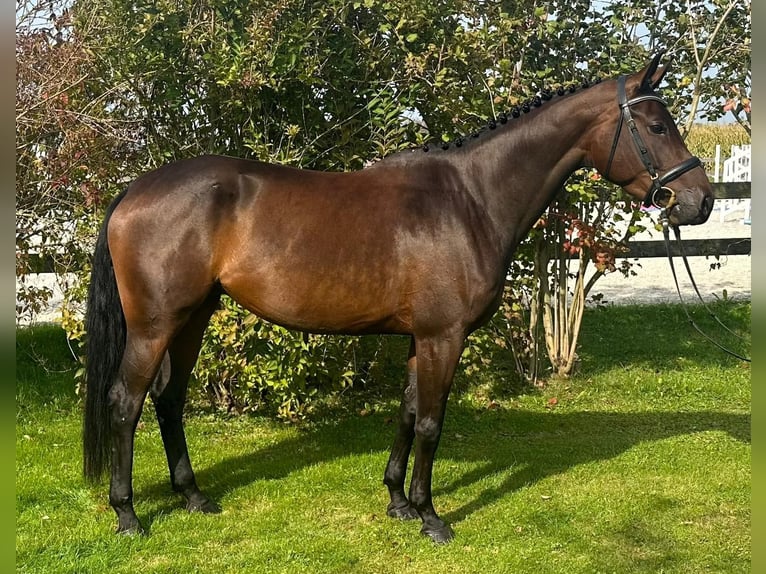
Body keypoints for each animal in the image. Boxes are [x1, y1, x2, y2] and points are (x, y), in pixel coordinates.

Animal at [82, 53, 712, 544]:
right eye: (657, 127)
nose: (699, 201)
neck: (471, 199)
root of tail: (134, 191)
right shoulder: (443, 337)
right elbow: (432, 422)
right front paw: (432, 517)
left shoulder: (420, 338)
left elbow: (409, 412)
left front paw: (398, 502)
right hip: (155, 325)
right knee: (126, 402)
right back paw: (128, 515)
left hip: (193, 318)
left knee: (168, 399)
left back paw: (192, 497)